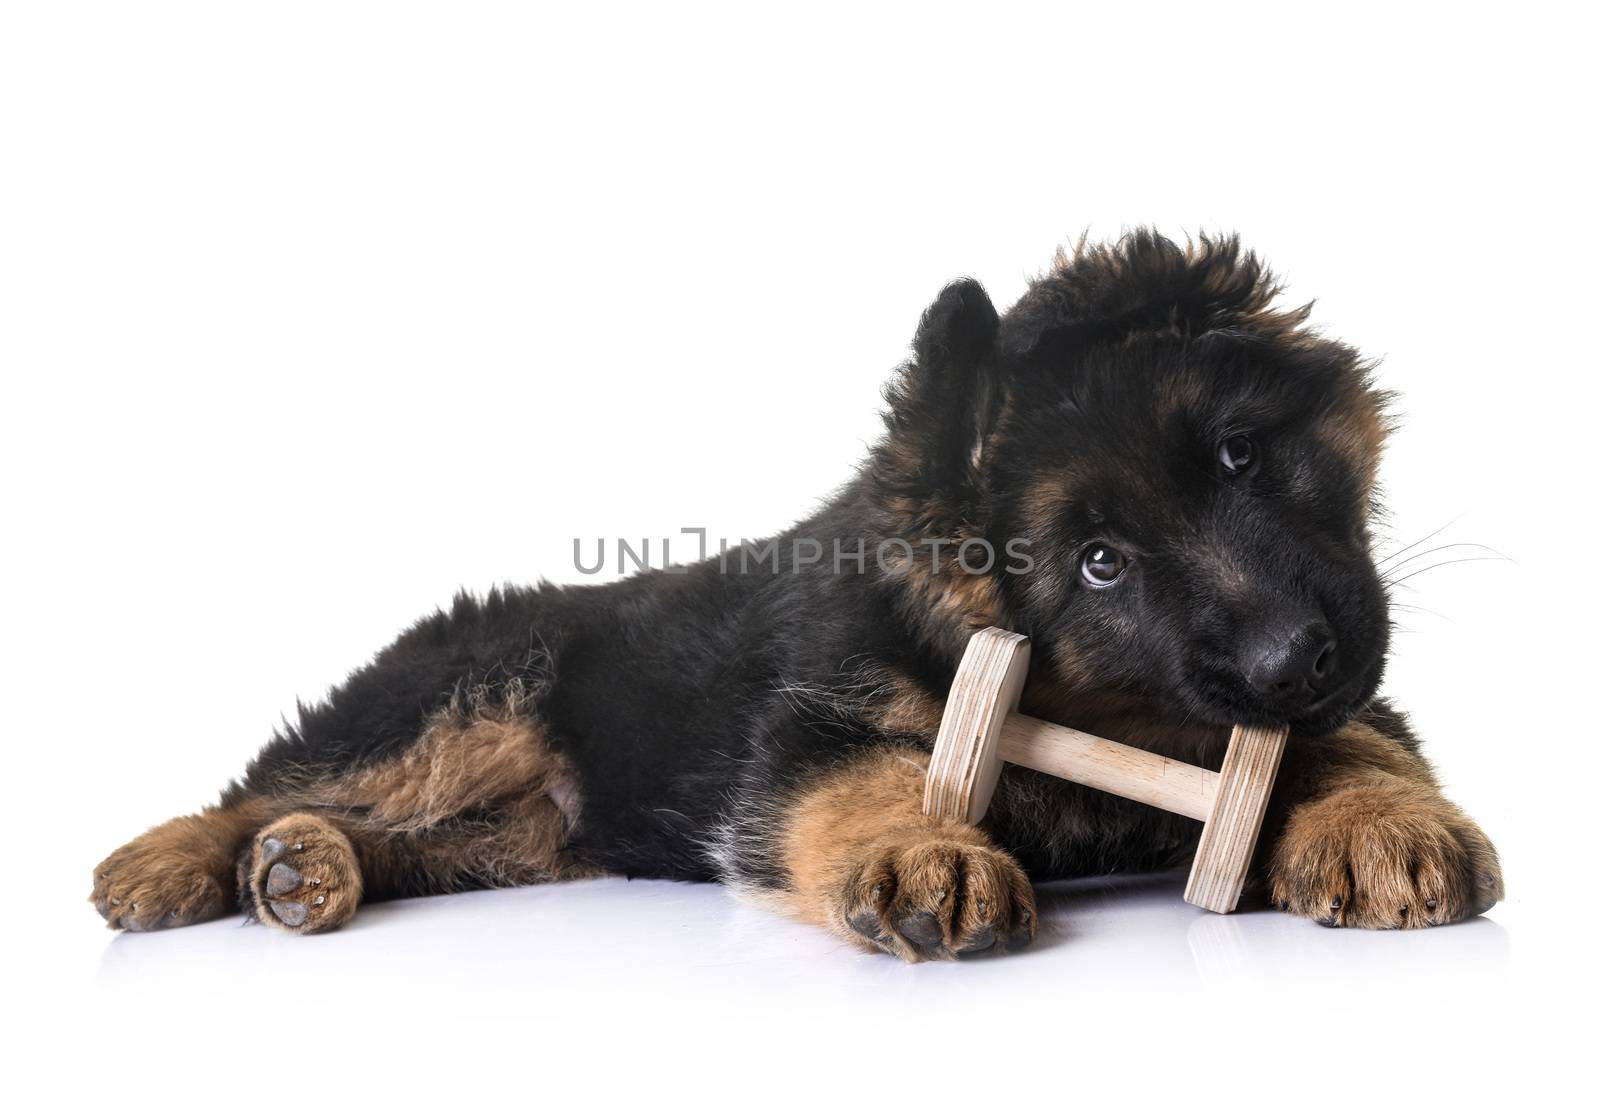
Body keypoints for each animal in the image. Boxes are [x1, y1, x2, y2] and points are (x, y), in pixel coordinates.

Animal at [96, 230, 1497, 954]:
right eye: (1099, 559)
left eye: (1240, 455)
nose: (1293, 661)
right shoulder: (808, 733)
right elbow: (863, 777)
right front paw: (924, 850)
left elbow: (1361, 735)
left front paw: (1380, 819)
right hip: (464, 697)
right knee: (282, 778)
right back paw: (187, 857)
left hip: (533, 836)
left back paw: (307, 867)